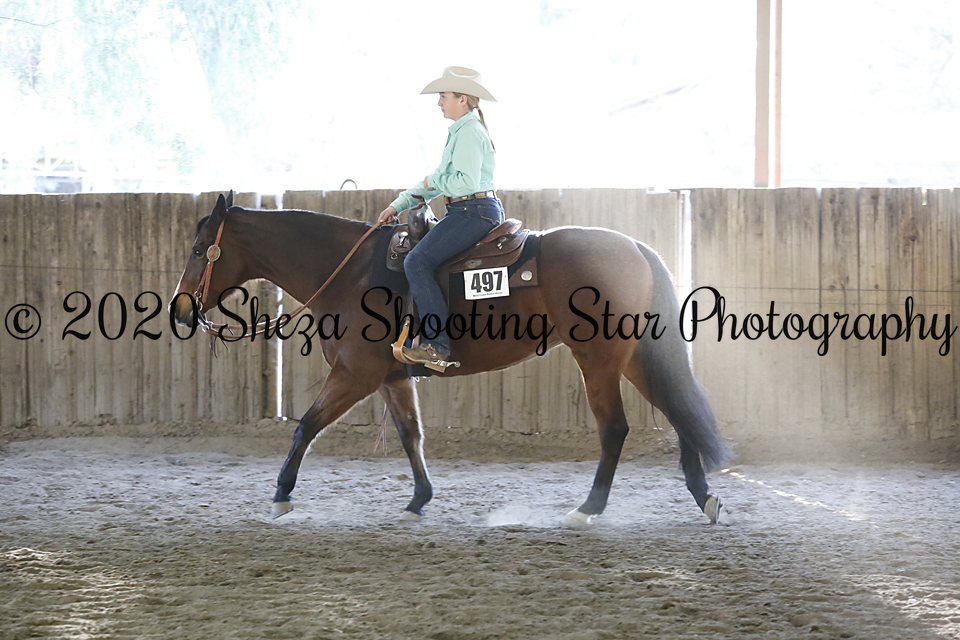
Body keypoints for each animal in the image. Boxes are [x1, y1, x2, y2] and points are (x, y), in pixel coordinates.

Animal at [170, 192, 732, 525]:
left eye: (199, 250)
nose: (179, 309)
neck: (349, 273)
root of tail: (636, 246)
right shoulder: (391, 377)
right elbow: (409, 435)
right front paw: (419, 499)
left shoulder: (354, 374)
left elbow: (306, 425)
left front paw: (282, 494)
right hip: (633, 356)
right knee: (677, 411)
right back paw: (703, 495)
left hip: (597, 358)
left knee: (615, 428)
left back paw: (587, 508)